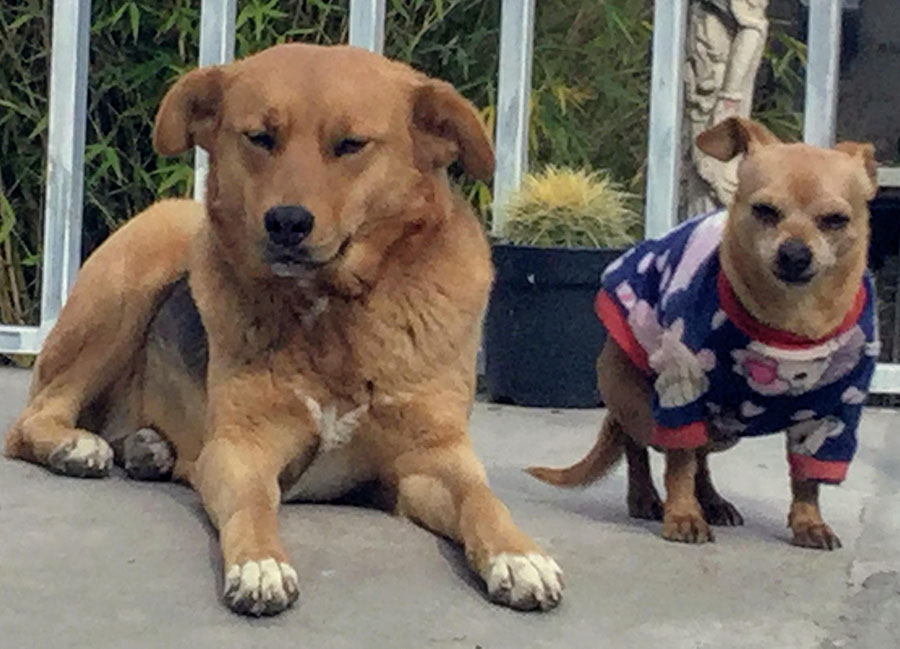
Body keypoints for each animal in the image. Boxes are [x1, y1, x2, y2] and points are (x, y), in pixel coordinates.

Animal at [5, 44, 564, 612]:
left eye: (351, 145)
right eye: (260, 137)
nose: (287, 222)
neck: (335, 317)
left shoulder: (433, 458)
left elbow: (483, 500)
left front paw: (520, 556)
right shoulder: (241, 449)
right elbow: (252, 506)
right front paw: (260, 565)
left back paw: (148, 448)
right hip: (144, 260)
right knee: (34, 416)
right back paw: (76, 447)